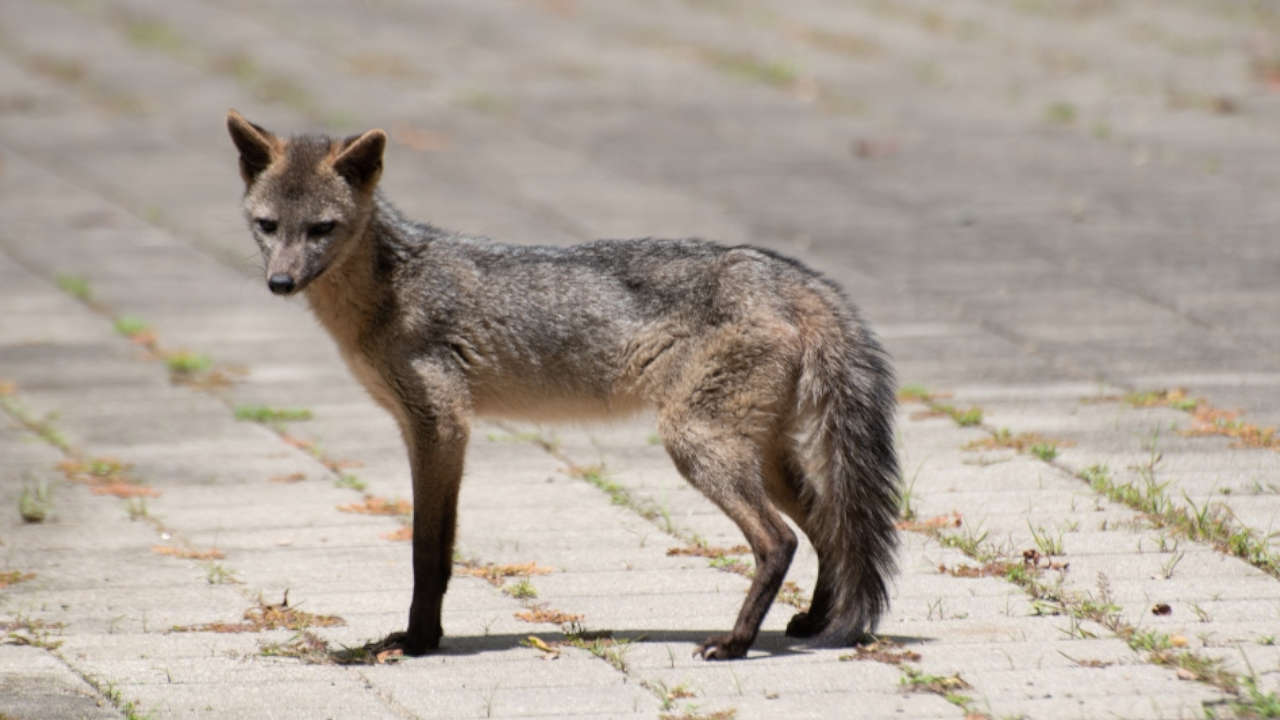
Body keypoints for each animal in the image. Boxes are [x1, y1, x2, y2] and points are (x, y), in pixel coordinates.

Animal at [225, 109, 900, 660]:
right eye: (267, 225)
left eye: (321, 229)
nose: (280, 283)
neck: (392, 291)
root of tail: (783, 274)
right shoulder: (432, 431)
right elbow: (435, 550)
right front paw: (425, 637)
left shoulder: (442, 427)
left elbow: (428, 553)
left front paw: (419, 642)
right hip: (761, 457)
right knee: (831, 529)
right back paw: (814, 622)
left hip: (698, 447)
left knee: (780, 541)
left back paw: (734, 644)